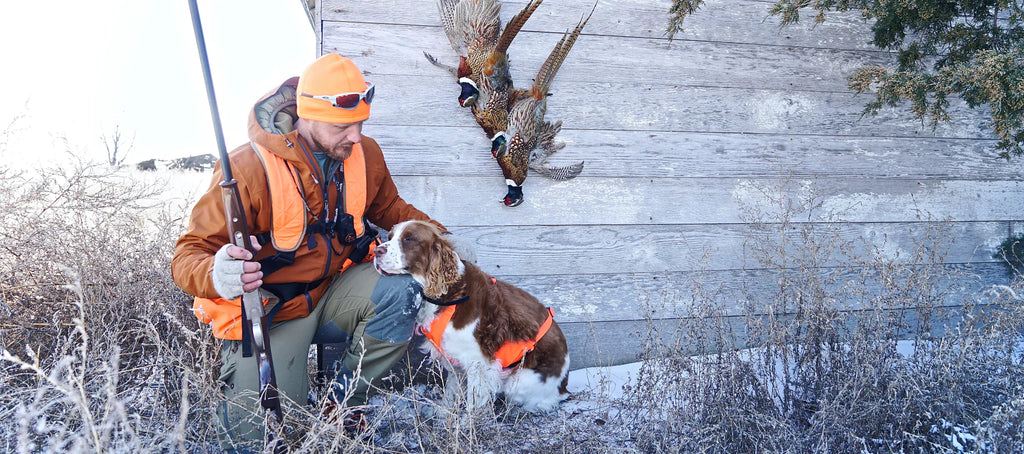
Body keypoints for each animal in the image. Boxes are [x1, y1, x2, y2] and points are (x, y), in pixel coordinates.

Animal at [374, 220, 573, 411]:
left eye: (409, 239)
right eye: (390, 237)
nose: (377, 250)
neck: (448, 295)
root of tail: (564, 384)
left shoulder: (479, 365)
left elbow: (473, 405)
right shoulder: (455, 362)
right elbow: (450, 394)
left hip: (519, 381)